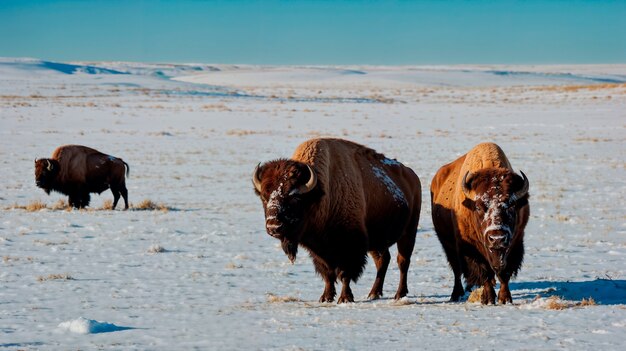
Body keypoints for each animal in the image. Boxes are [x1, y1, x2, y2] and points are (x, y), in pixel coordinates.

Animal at [250, 139, 420, 304]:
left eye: (294, 197)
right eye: (264, 197)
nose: (273, 226)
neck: (321, 193)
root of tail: (412, 176)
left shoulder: (350, 246)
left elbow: (345, 273)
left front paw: (345, 298)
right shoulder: (318, 249)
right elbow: (328, 273)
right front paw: (326, 297)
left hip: (408, 232)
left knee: (403, 262)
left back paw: (399, 294)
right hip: (376, 241)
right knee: (383, 261)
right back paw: (373, 294)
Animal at [428, 143, 528, 306]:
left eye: (512, 205)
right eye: (479, 207)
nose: (497, 238)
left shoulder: (514, 244)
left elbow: (504, 273)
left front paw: (505, 299)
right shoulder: (470, 248)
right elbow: (483, 271)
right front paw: (488, 299)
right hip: (448, 245)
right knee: (456, 269)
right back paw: (456, 294)